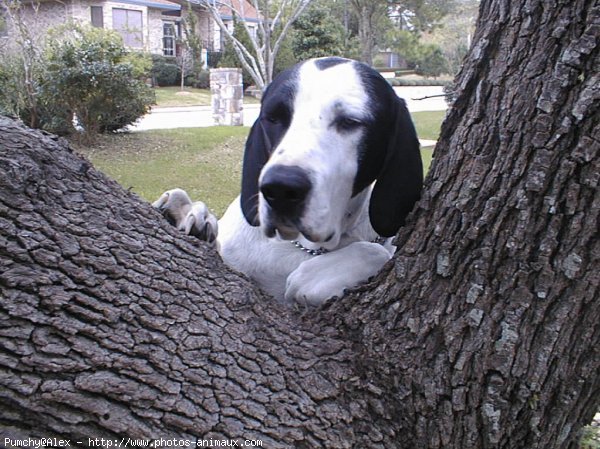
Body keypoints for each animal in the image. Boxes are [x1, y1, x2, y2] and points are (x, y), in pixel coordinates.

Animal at [155, 57, 422, 304]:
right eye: (273, 118)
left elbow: (378, 250)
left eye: (351, 121)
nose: (280, 189)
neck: (304, 248)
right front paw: (187, 214)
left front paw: (315, 275)